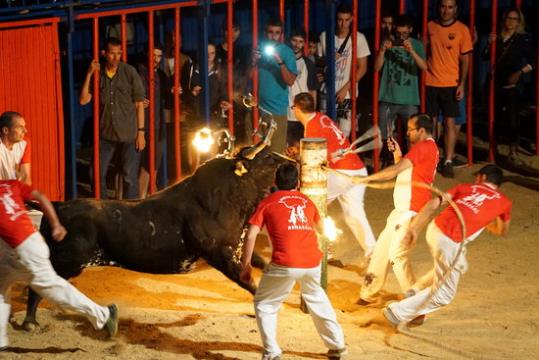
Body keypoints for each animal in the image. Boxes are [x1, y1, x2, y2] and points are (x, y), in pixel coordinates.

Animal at [23, 146, 288, 330]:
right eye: (267, 157)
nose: (289, 159)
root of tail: (58, 206)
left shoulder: (238, 249)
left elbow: (262, 264)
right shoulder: (221, 254)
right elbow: (249, 281)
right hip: (65, 262)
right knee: (38, 287)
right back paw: (30, 323)